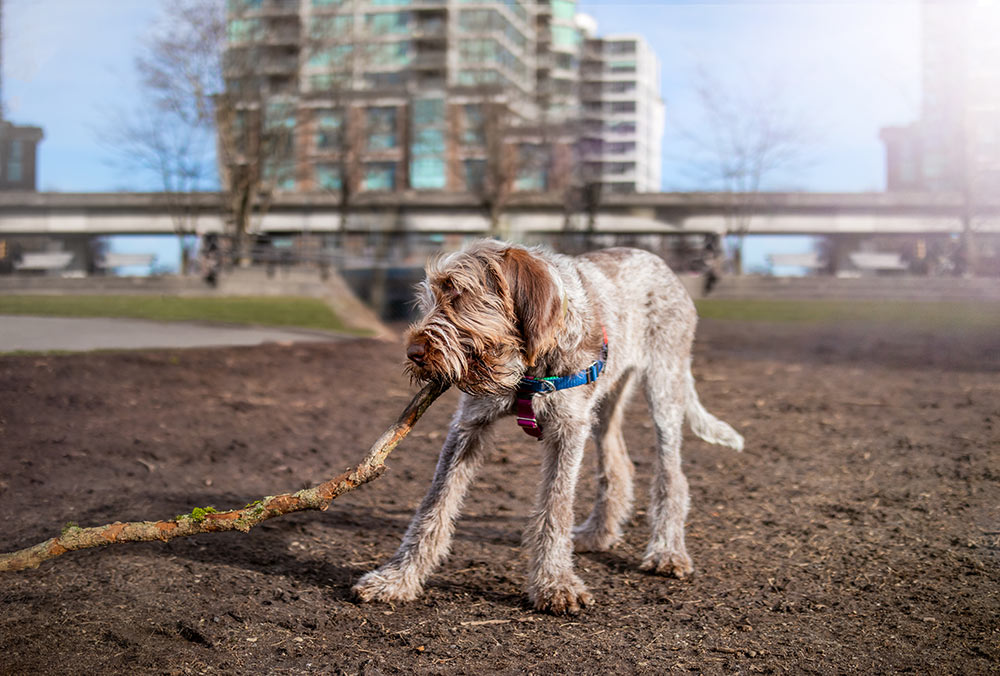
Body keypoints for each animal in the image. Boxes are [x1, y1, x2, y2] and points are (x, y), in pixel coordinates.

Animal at [354, 240, 744, 616]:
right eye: (429, 299)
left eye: (459, 294)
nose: (413, 352)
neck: (528, 366)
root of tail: (659, 263)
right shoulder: (470, 425)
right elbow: (434, 505)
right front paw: (397, 578)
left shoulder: (568, 429)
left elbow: (556, 508)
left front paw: (555, 584)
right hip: (605, 402)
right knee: (618, 464)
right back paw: (597, 534)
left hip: (664, 387)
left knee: (671, 475)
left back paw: (667, 550)